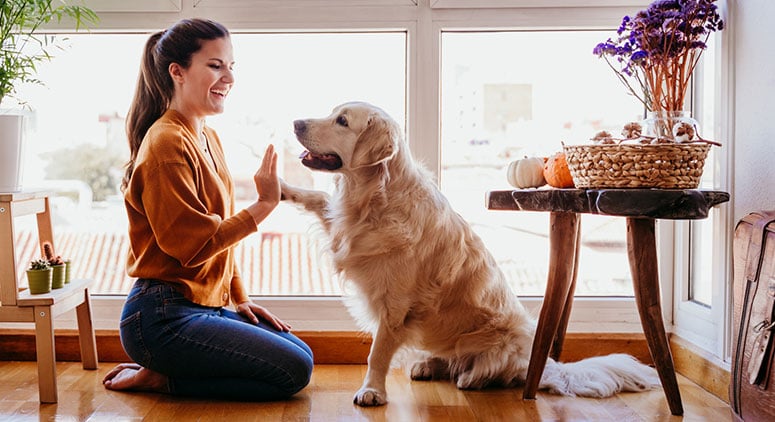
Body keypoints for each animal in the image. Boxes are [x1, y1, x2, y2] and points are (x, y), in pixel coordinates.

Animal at [280, 101, 660, 406]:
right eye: (332, 113)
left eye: (342, 121)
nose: (295, 122)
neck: (373, 198)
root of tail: (541, 363)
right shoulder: (343, 228)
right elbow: (318, 199)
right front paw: (281, 187)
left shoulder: (395, 306)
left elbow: (377, 353)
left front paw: (372, 391)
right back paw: (428, 365)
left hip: (502, 340)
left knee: (493, 371)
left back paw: (471, 378)